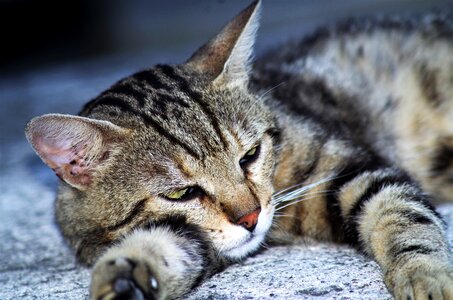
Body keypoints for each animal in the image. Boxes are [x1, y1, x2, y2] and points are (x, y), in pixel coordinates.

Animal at [25, 1, 452, 298]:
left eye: (249, 156)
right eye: (180, 193)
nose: (251, 218)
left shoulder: (354, 170)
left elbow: (403, 216)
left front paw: (426, 274)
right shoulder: (190, 237)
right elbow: (161, 246)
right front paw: (125, 278)